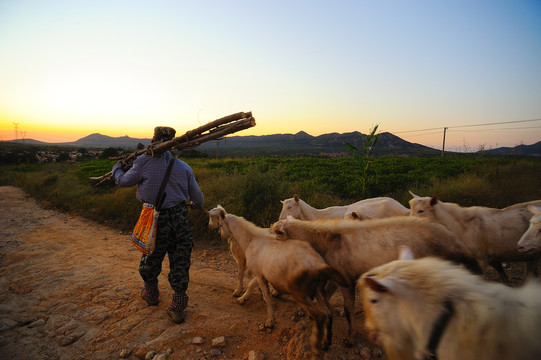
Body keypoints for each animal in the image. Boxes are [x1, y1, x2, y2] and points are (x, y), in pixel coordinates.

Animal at [206, 205, 346, 358]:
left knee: (319, 316)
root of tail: (318, 264)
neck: (251, 240)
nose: (221, 235)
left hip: (300, 293)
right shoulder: (261, 274)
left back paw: (316, 348)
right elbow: (253, 285)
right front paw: (243, 298)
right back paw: (327, 343)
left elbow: (266, 297)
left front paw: (269, 322)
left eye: (220, 224)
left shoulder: (260, 275)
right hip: (318, 290)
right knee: (328, 313)